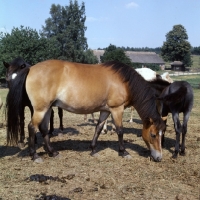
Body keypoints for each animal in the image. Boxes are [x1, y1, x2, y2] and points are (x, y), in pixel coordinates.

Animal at [6, 59, 166, 162]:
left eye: (161, 134)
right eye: (152, 134)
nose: (159, 157)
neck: (124, 82)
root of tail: (30, 69)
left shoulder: (106, 110)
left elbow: (98, 128)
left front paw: (93, 149)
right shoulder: (116, 109)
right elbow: (120, 130)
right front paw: (123, 151)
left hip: (47, 108)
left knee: (44, 129)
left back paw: (52, 152)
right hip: (40, 109)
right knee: (32, 127)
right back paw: (35, 155)